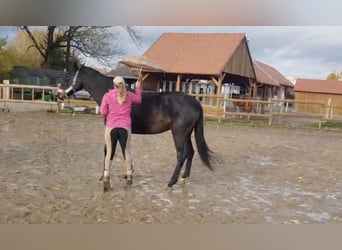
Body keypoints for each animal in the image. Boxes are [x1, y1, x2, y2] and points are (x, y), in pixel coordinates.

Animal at [61, 65, 214, 187]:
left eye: (68, 78)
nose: (59, 94)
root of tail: (195, 102)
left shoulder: (113, 131)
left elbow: (110, 151)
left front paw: (105, 175)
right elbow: (124, 150)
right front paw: (127, 173)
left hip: (179, 134)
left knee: (182, 155)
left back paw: (171, 182)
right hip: (187, 134)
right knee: (191, 152)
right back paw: (183, 178)